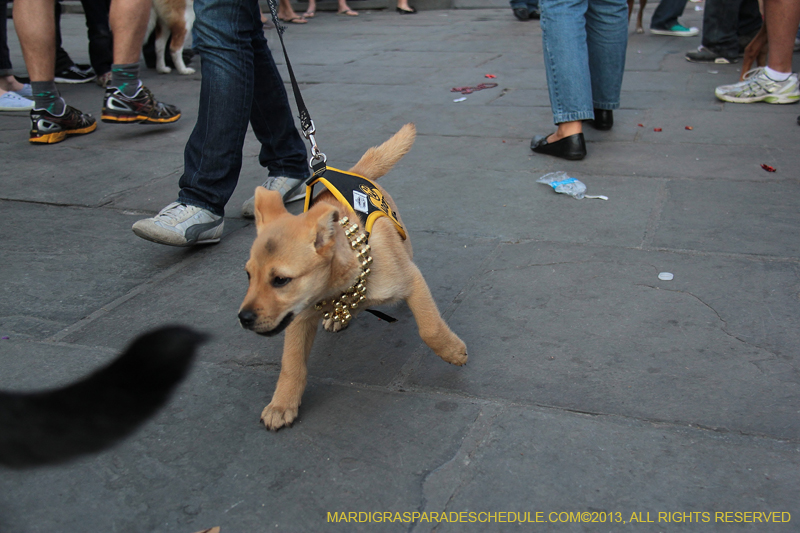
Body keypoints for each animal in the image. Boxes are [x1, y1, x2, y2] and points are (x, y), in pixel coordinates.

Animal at [238, 122, 466, 430]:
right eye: (249, 276)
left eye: (281, 280)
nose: (244, 318)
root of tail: (355, 172)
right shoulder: (299, 316)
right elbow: (292, 363)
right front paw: (282, 404)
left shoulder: (411, 279)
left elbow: (429, 328)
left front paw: (452, 351)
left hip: (403, 242)